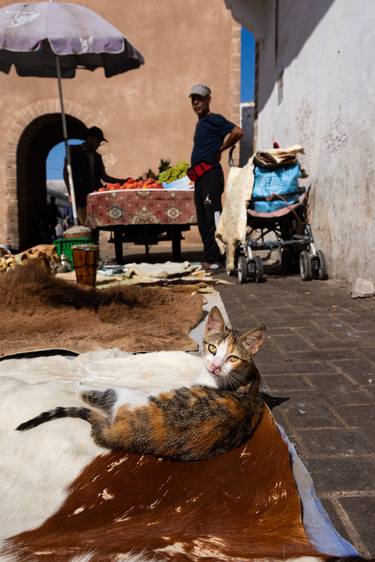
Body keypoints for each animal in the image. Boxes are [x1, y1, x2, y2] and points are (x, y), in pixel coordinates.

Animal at [16, 306, 266, 460]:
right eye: (212, 348)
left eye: (232, 358)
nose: (215, 366)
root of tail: (119, 435)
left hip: (126, 397)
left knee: (95, 395)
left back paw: (77, 385)